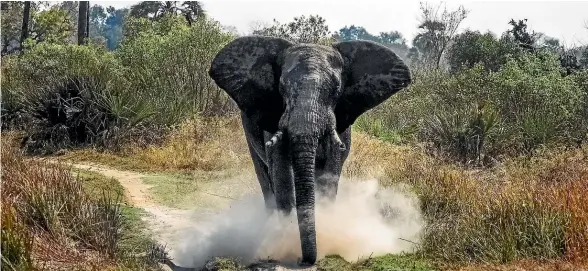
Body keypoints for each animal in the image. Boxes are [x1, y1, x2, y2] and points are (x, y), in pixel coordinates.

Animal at [209, 36, 412, 268]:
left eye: (336, 89)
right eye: (281, 87)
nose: (303, 260)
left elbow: (330, 170)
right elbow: (281, 171)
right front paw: (284, 237)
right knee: (265, 177)